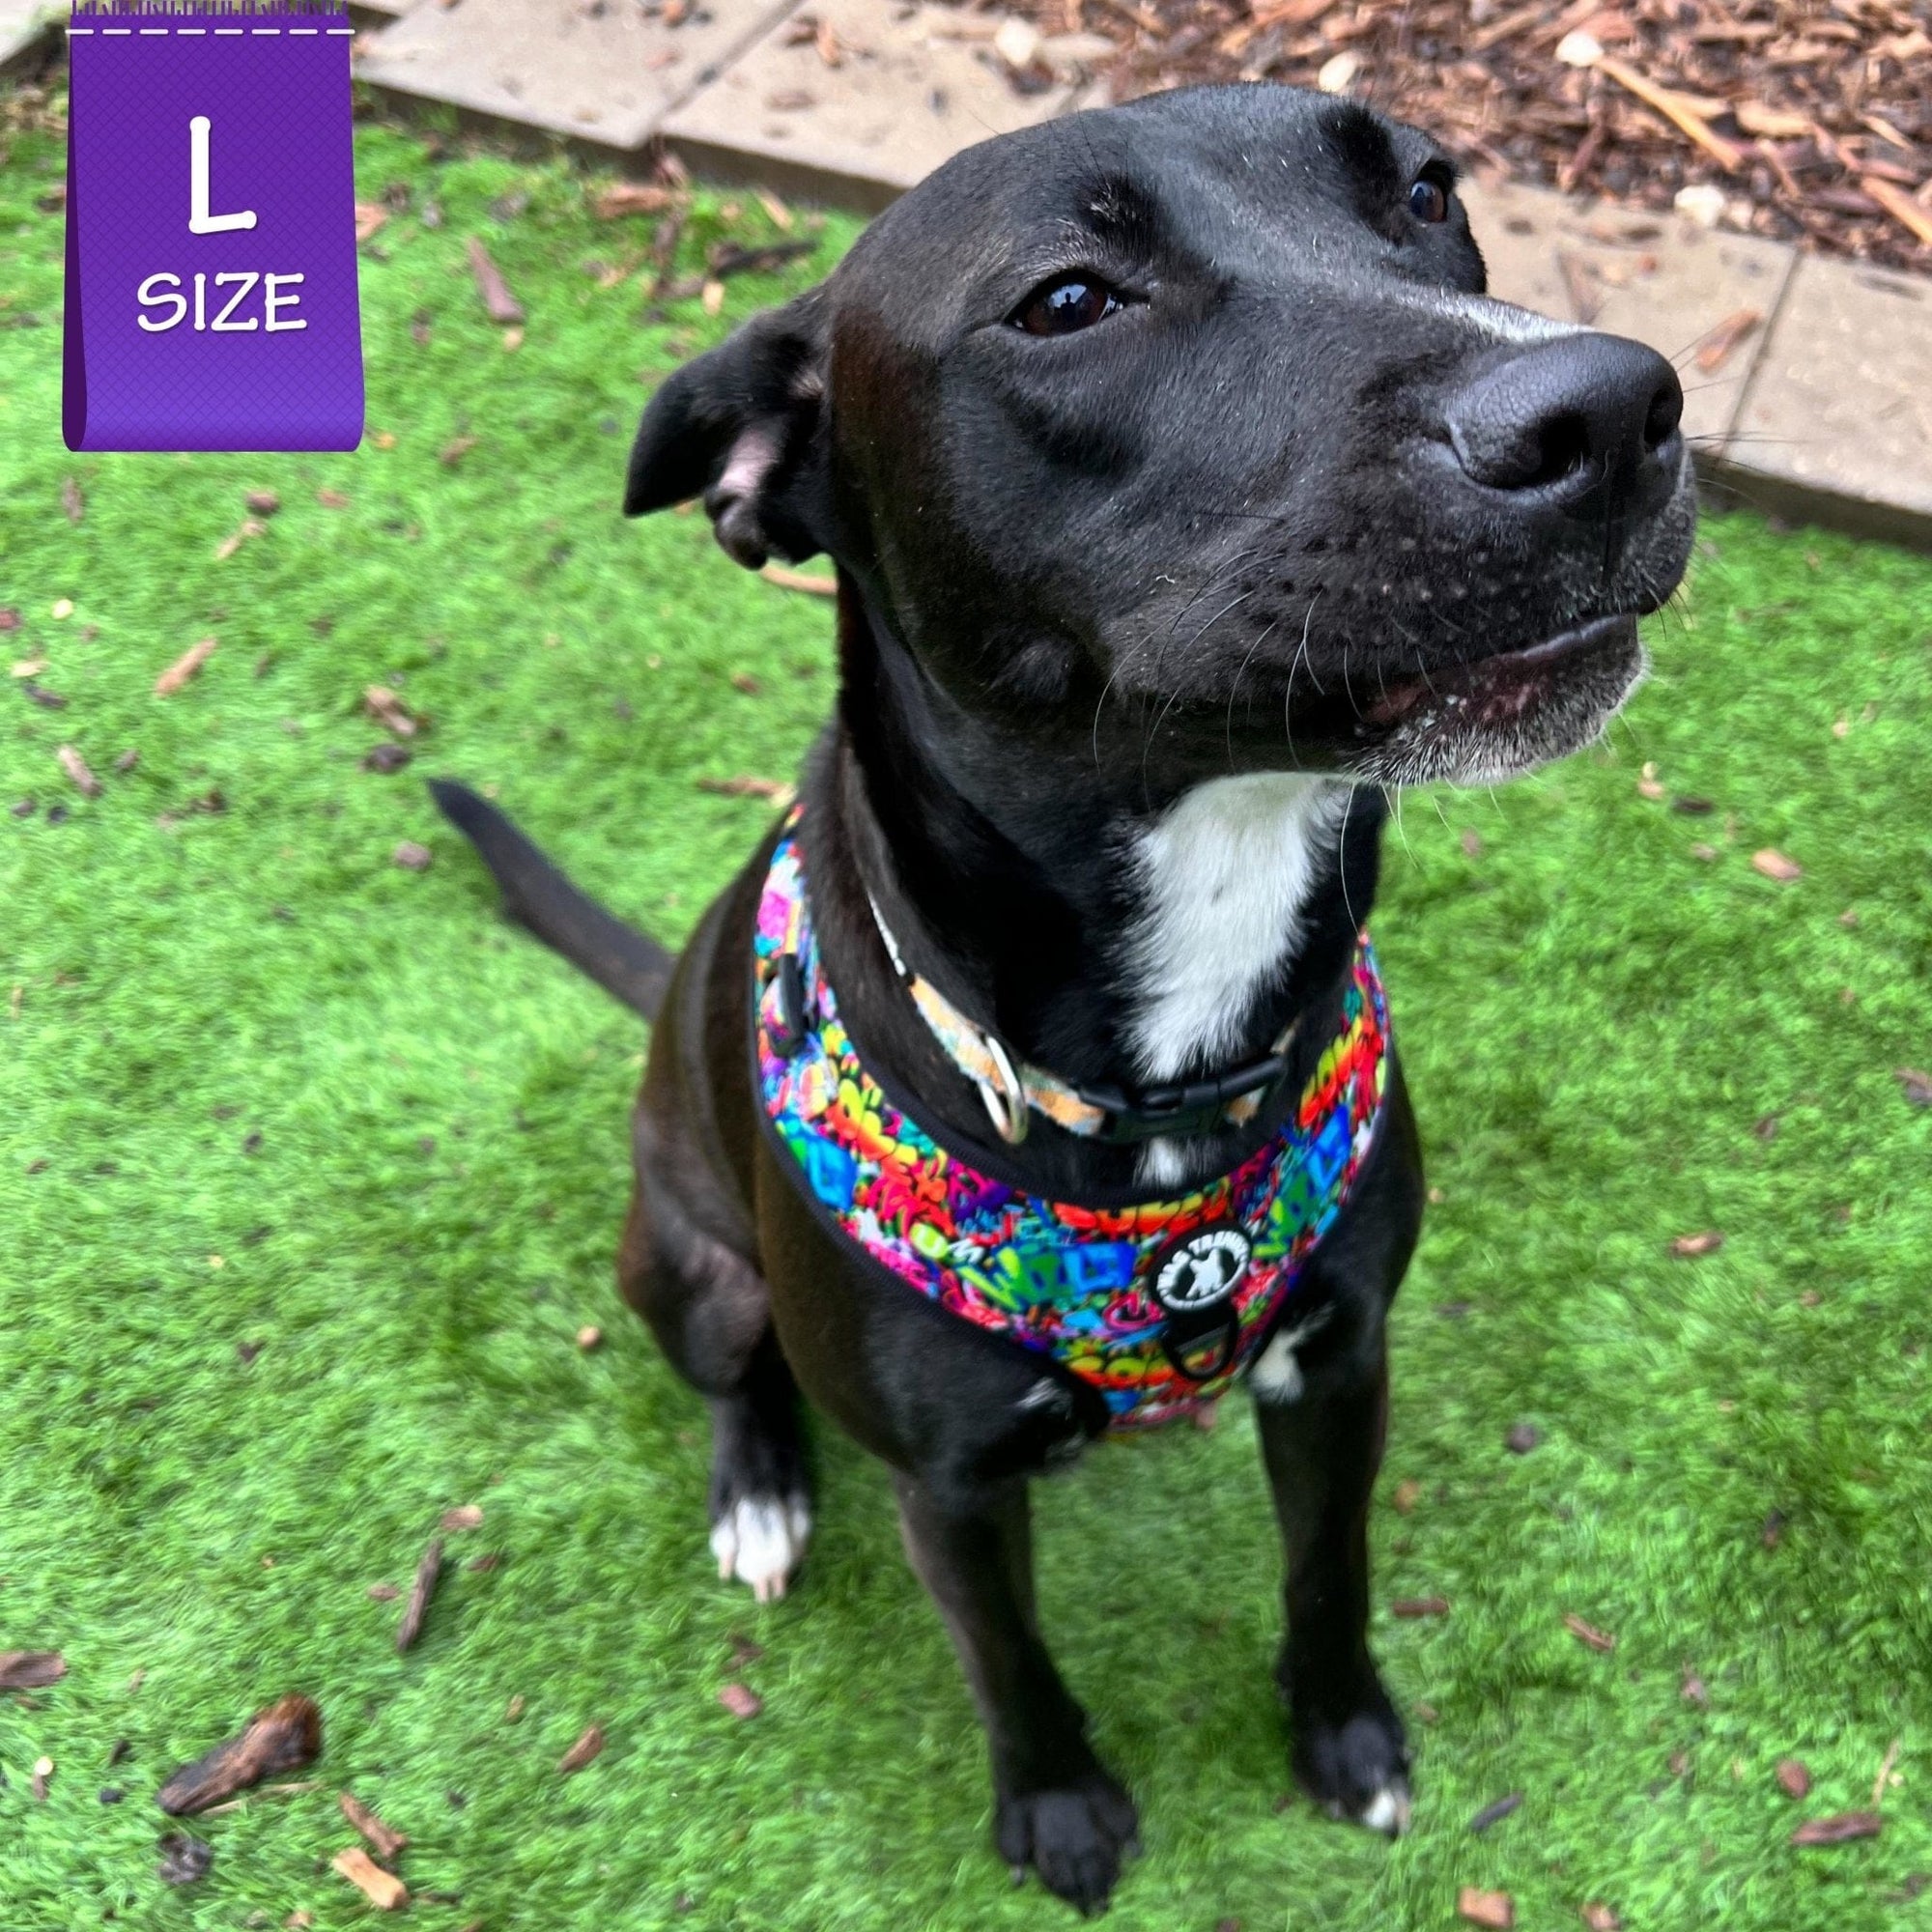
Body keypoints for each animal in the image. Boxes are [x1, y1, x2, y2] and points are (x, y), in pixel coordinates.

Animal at [433, 81, 1694, 1914]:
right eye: (1070, 300)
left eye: (1428, 193)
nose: (1611, 410)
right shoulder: (952, 1487)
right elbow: (1009, 1663)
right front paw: (1062, 1812)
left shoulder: (1344, 1365)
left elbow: (1329, 1574)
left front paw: (1345, 1737)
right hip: (690, 1266)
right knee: (736, 1376)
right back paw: (760, 1494)